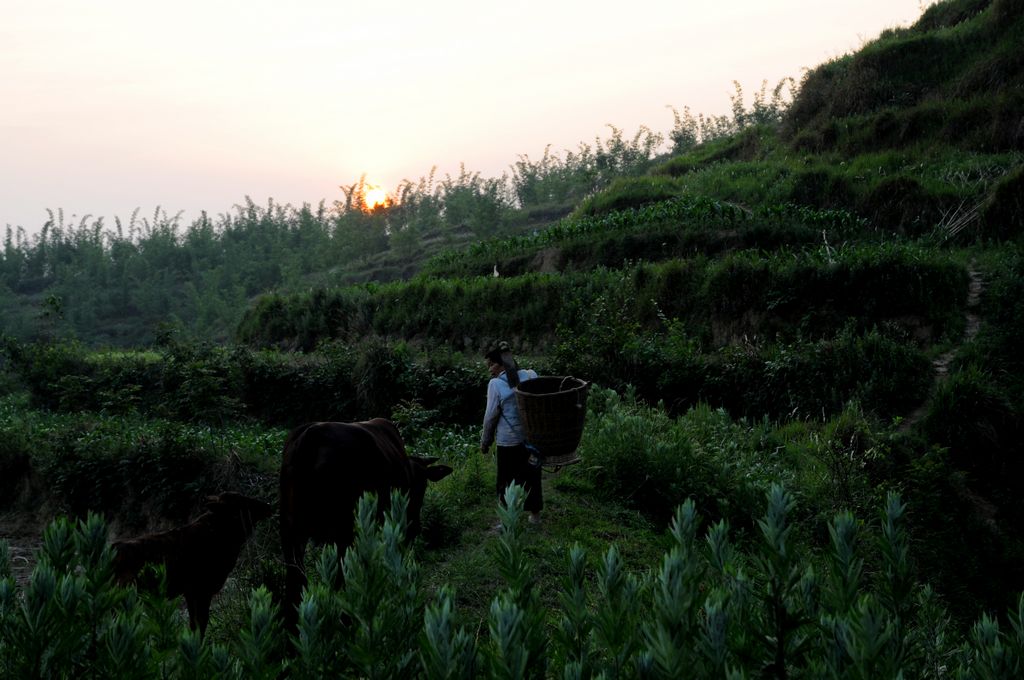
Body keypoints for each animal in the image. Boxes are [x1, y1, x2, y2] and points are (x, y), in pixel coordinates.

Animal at [282, 419, 454, 626]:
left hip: (291, 531)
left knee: (295, 578)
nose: (415, 526)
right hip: (340, 531)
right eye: (422, 485)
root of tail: (312, 434)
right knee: (338, 575)